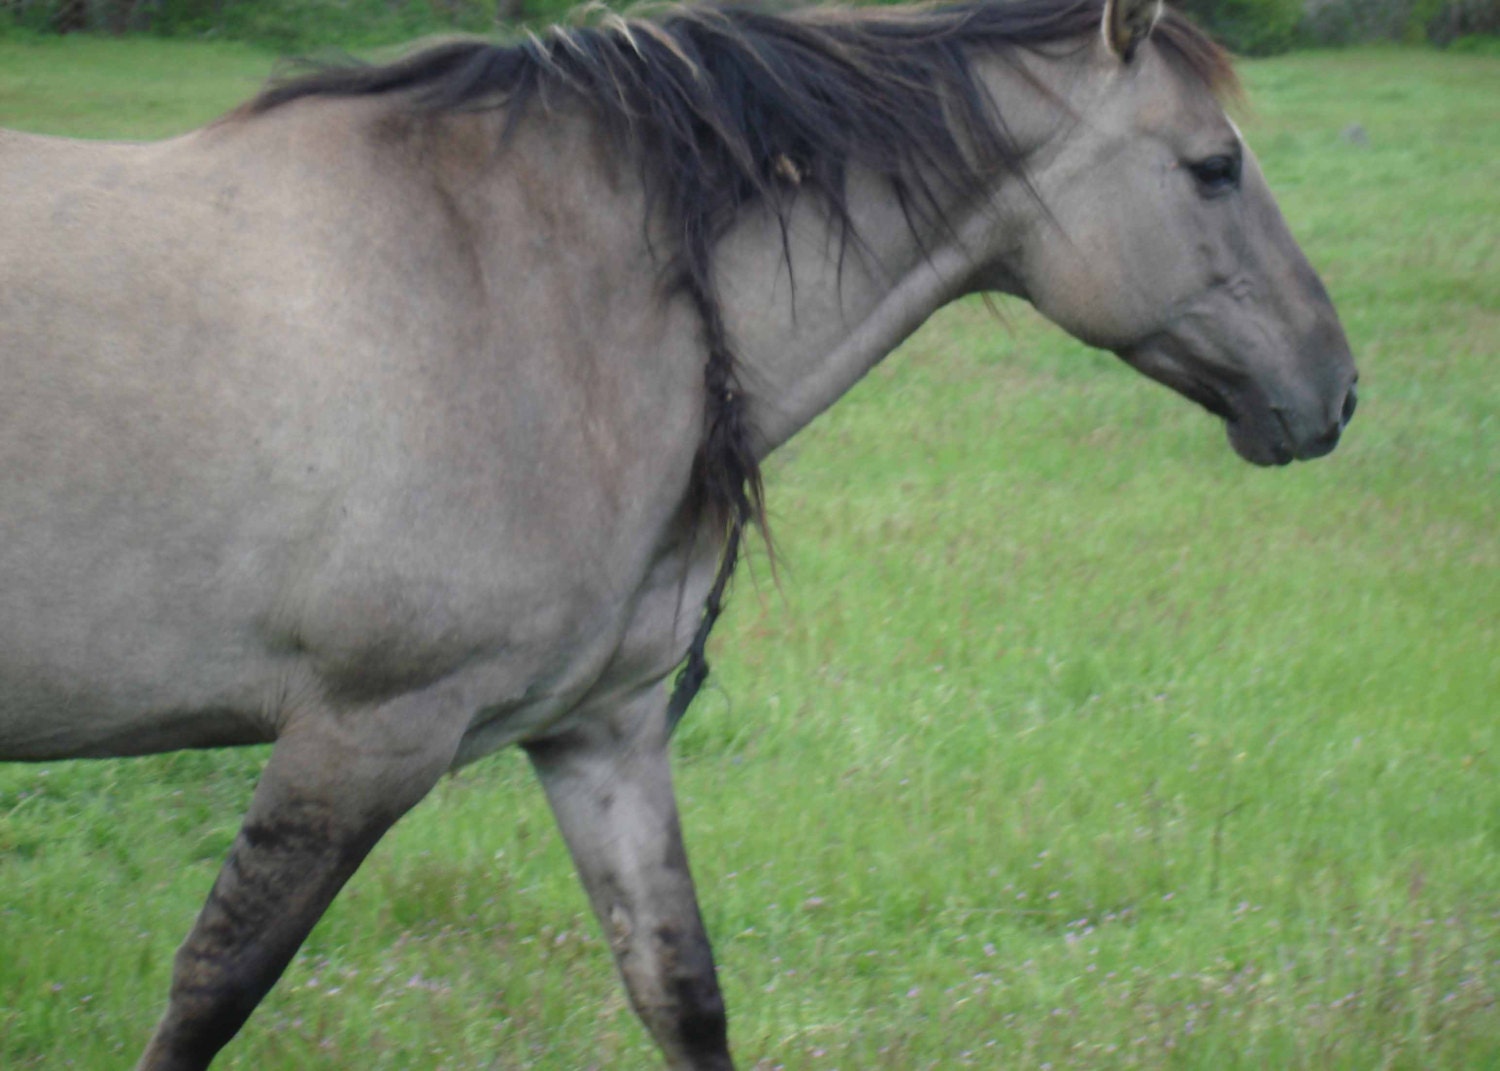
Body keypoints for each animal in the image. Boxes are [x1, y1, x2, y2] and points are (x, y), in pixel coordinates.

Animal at [0, 0, 1357, 1066]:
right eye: (1214, 167)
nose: (1336, 389)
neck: (541, 294)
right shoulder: (360, 738)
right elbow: (207, 994)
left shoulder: (603, 738)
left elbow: (682, 993)